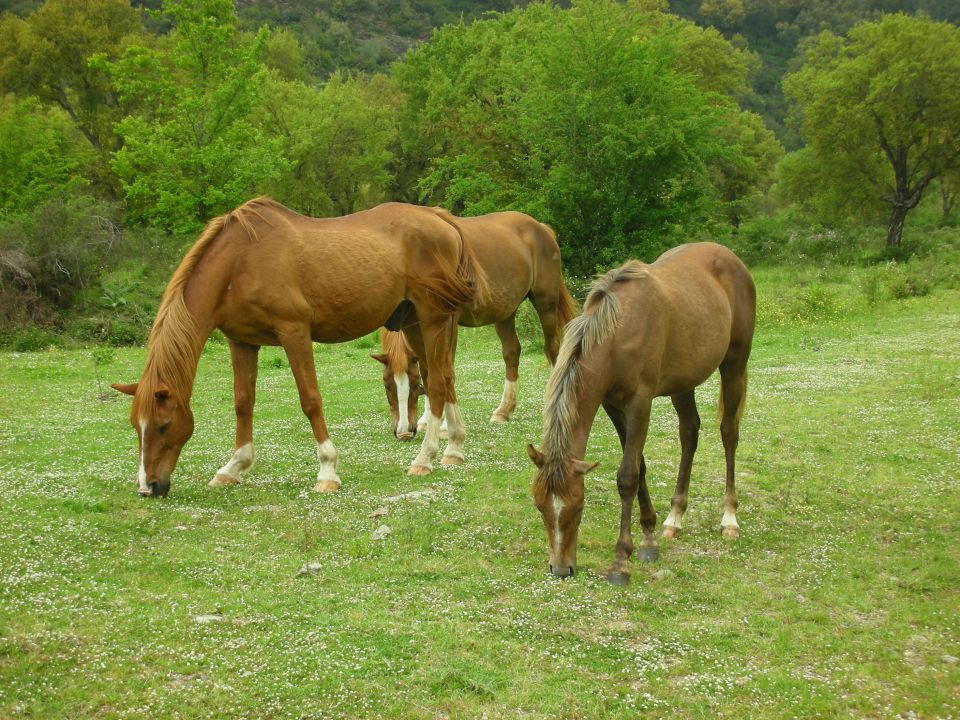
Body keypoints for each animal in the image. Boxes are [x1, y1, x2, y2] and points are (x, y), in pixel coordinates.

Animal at [114, 200, 488, 498]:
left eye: (163, 425)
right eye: (136, 427)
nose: (147, 487)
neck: (241, 262)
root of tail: (440, 219)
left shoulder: (294, 333)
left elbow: (310, 400)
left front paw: (327, 470)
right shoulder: (242, 341)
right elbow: (242, 403)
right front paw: (234, 466)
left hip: (432, 319)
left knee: (436, 384)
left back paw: (425, 458)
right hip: (414, 325)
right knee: (445, 378)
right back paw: (454, 448)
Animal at [372, 208, 572, 438]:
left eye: (414, 385)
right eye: (387, 385)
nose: (404, 432)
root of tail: (542, 228)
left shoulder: (447, 324)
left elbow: (444, 369)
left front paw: (444, 425)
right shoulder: (415, 326)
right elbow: (428, 369)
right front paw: (426, 420)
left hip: (546, 304)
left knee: (552, 349)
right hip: (505, 312)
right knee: (512, 353)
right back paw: (503, 411)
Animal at [524, 245, 756, 584]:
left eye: (579, 507)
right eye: (539, 506)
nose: (561, 569)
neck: (617, 333)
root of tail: (730, 257)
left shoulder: (640, 403)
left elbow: (627, 476)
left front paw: (621, 560)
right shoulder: (612, 405)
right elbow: (641, 466)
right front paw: (649, 538)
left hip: (734, 365)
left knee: (729, 434)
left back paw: (729, 518)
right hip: (683, 382)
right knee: (689, 433)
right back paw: (674, 518)